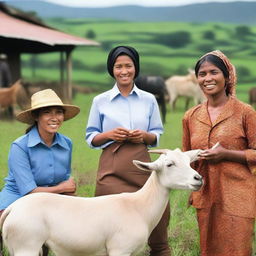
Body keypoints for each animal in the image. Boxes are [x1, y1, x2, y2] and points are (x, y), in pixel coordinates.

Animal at [1, 148, 203, 256]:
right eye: (169, 164)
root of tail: (13, 209)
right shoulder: (120, 249)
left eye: (189, 161)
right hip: (26, 245)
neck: (139, 207)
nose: (198, 179)